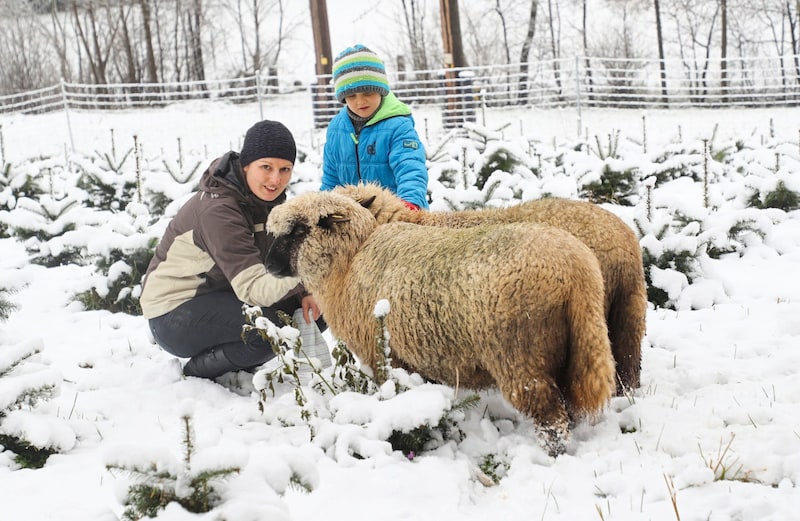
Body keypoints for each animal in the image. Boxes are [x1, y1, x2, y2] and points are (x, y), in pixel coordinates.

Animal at [266, 189, 616, 452]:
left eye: (300, 229)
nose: (268, 265)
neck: (351, 261)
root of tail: (578, 271)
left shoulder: (382, 355)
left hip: (522, 356)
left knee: (550, 418)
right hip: (575, 348)